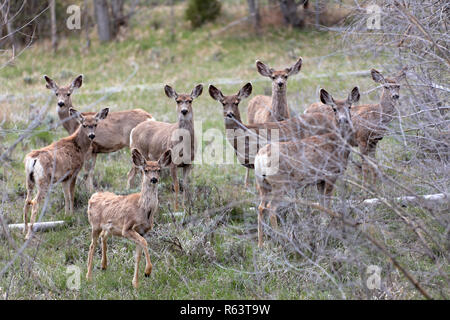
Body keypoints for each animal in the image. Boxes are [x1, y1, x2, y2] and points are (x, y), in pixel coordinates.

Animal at [23, 109, 109, 239]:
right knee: (35, 202)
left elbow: (66, 196)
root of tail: (33, 159)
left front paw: (66, 215)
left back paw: (24, 230)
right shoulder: (74, 171)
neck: (78, 146)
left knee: (26, 202)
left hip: (29, 181)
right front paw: (72, 214)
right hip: (44, 181)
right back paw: (29, 234)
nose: (92, 135)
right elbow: (72, 195)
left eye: (95, 124)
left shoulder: (64, 178)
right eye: (84, 125)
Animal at [85, 149, 171, 288]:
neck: (143, 209)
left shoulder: (142, 231)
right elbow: (144, 243)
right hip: (95, 224)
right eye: (145, 170)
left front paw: (135, 283)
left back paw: (104, 265)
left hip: (109, 227)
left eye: (159, 170)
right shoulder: (127, 227)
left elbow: (138, 254)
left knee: (103, 236)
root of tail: (93, 196)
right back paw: (88, 276)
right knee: (92, 245)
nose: (154, 179)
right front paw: (148, 271)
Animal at [255, 87, 360, 248]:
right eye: (334, 108)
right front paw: (326, 231)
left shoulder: (319, 180)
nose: (343, 119)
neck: (338, 144)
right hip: (280, 183)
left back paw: (261, 244)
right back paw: (281, 240)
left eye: (349, 106)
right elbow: (327, 204)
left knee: (261, 207)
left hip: (263, 184)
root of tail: (260, 157)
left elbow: (321, 204)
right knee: (272, 208)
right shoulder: (330, 174)